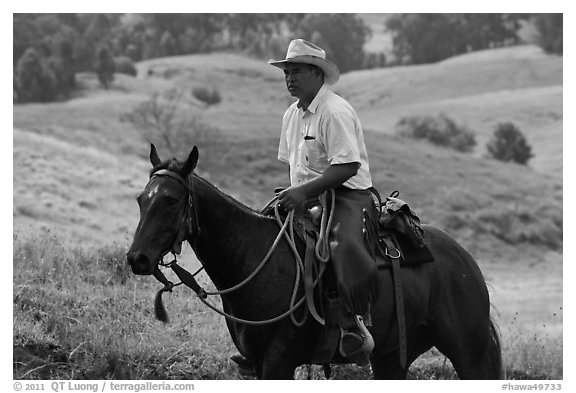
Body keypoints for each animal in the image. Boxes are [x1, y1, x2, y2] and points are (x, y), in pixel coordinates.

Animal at [125, 145, 500, 380]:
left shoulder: (278, 363)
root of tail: (465, 260)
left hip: (467, 350)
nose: (137, 258)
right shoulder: (255, 364)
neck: (254, 257)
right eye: (142, 199)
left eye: (171, 201)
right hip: (391, 358)